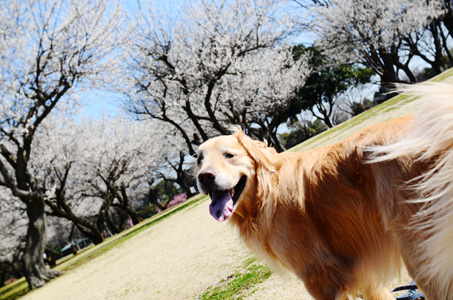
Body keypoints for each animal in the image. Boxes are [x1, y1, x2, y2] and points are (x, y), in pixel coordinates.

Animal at [194, 82, 452, 300]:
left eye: (229, 155)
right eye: (198, 160)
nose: (204, 177)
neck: (266, 192)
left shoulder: (320, 275)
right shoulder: (366, 279)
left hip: (421, 256)